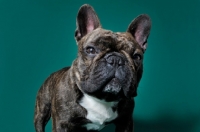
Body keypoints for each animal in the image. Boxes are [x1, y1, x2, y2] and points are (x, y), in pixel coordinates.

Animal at [34, 4, 150, 132]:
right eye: (90, 50)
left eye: (137, 57)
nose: (116, 59)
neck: (102, 98)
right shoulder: (62, 124)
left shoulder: (126, 122)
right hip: (41, 113)